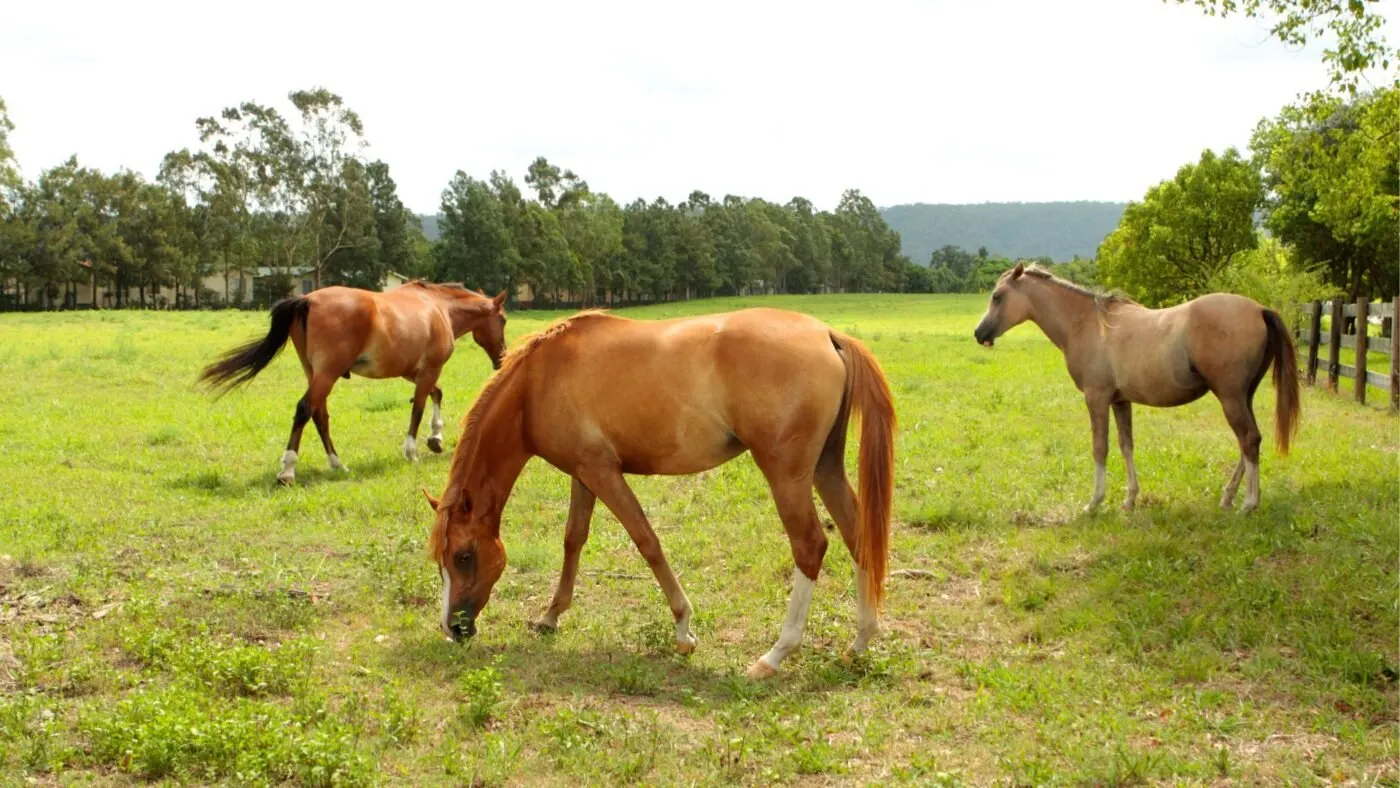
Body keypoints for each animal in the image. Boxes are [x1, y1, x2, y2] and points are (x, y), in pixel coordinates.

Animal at [197, 281, 509, 485]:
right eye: (504, 320)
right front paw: (412, 451)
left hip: (315, 373)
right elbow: (419, 407)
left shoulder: (413, 371)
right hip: (327, 374)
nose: (502, 358)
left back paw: (337, 464)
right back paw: (288, 470)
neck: (438, 306)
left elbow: (437, 394)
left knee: (319, 415)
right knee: (305, 410)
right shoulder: (429, 369)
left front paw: (436, 438)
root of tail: (307, 300)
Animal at [423, 307, 896, 679]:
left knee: (810, 546)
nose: (453, 629)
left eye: (463, 556)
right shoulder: (583, 473)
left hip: (787, 475)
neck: (538, 382)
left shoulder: (603, 472)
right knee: (857, 536)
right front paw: (550, 616)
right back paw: (860, 642)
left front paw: (684, 630)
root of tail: (827, 334)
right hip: (825, 468)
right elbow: (574, 539)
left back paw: (775, 655)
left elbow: (646, 540)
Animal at [973, 263, 1299, 514]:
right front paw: (1130, 499)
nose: (979, 333)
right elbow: (1126, 445)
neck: (1087, 324)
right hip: (1243, 396)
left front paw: (1094, 502)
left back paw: (1249, 503)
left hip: (1230, 397)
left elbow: (1100, 448)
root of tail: (1259, 309)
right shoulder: (1120, 401)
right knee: (1250, 442)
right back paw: (1229, 497)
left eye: (997, 296)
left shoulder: (1096, 398)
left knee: (1249, 439)